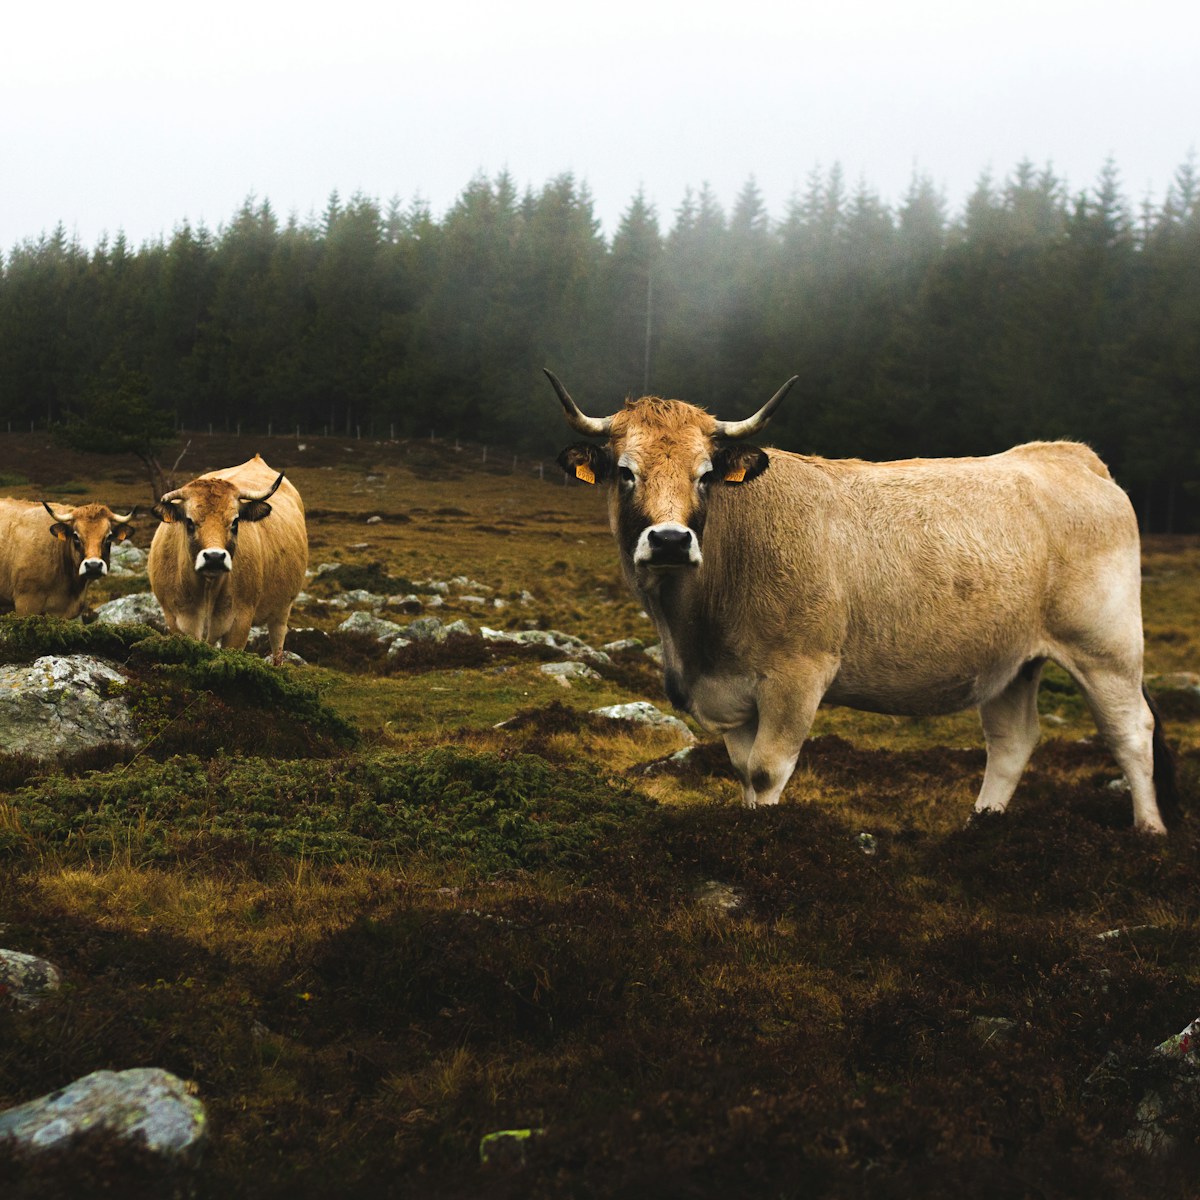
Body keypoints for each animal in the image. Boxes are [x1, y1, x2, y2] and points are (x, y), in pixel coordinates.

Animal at [147, 455, 307, 664]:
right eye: (189, 521)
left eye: (235, 521)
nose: (214, 557)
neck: (206, 588)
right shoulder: (176, 619)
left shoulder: (239, 623)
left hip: (282, 611)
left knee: (277, 648)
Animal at [547, 370, 1179, 834]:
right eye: (625, 472)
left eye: (705, 475)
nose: (671, 541)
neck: (691, 629)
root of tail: (1067, 455)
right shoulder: (731, 691)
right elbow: (742, 771)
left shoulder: (798, 674)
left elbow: (766, 771)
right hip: (1010, 659)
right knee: (1012, 742)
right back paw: (980, 830)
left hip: (1105, 647)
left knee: (1132, 731)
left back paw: (1149, 833)